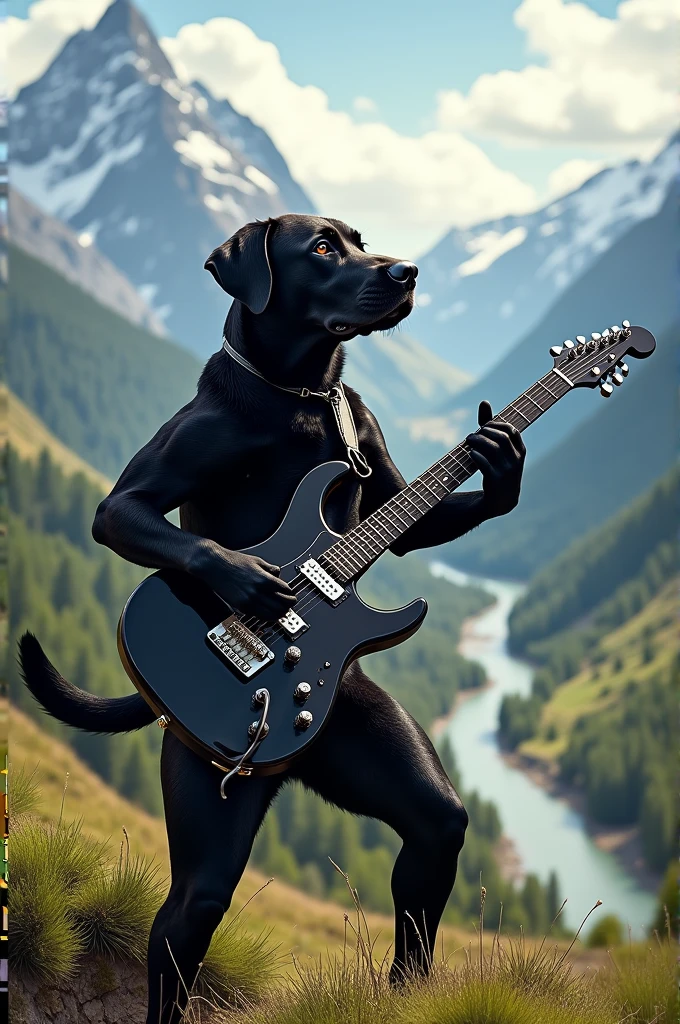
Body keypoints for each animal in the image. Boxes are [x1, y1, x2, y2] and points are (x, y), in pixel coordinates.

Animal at [18, 214, 522, 1024]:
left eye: (359, 239)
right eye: (322, 248)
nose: (407, 271)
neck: (301, 394)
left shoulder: (371, 447)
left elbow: (410, 517)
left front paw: (502, 457)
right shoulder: (164, 464)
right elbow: (120, 512)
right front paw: (257, 587)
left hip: (363, 749)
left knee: (435, 833)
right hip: (204, 801)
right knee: (190, 911)